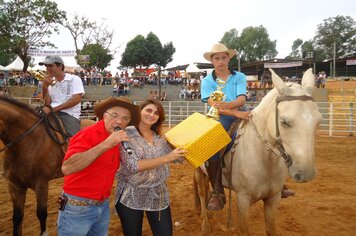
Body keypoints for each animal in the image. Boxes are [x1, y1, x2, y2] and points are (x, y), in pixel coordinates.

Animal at [195, 67, 322, 235]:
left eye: (318, 121)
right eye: (284, 121)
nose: (306, 173)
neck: (264, 159)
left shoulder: (273, 199)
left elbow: (271, 229)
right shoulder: (242, 200)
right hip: (198, 171)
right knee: (202, 193)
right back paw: (206, 224)